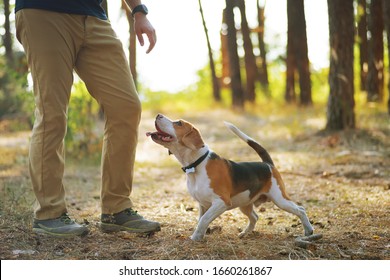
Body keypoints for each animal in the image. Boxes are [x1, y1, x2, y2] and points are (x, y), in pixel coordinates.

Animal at [146, 114, 314, 241]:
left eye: (179, 123)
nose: (158, 115)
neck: (197, 164)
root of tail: (267, 164)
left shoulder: (222, 202)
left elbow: (204, 220)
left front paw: (195, 237)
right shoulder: (203, 204)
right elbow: (201, 220)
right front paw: (200, 235)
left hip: (279, 199)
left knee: (300, 209)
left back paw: (308, 230)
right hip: (245, 203)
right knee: (255, 217)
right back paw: (245, 233)